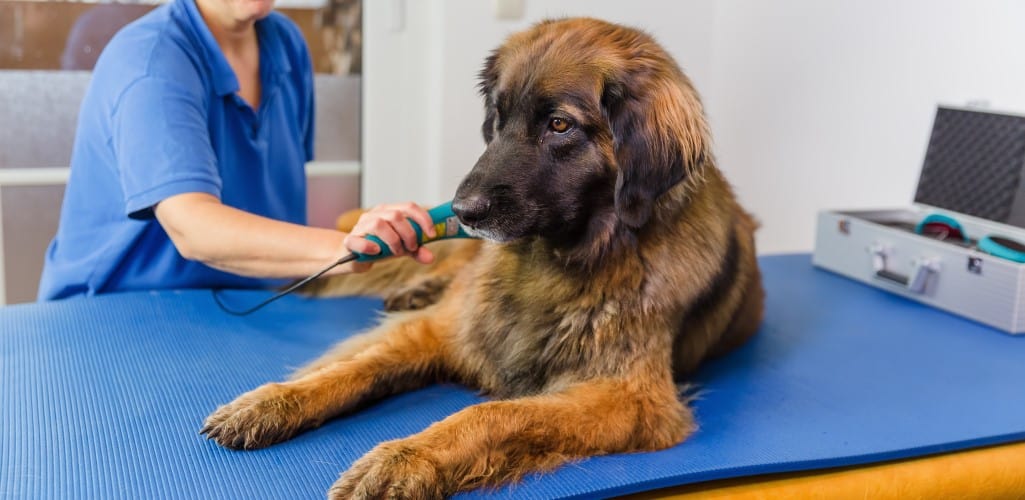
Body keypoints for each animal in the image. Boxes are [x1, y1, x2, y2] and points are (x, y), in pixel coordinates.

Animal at [199, 17, 762, 497]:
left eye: (560, 125)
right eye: (499, 116)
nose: (463, 211)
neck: (557, 261)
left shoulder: (629, 398)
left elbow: (493, 415)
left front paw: (404, 459)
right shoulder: (446, 329)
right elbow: (354, 366)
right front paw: (273, 401)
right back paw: (418, 288)